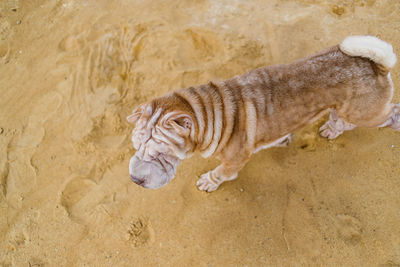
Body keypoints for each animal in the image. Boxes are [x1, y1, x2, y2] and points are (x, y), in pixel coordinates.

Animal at [126, 35, 398, 193]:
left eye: (162, 154)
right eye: (135, 146)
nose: (134, 180)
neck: (210, 112)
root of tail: (376, 65)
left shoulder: (234, 161)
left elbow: (221, 173)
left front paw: (209, 181)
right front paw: (282, 140)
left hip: (367, 113)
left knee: (391, 112)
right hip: (348, 107)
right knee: (342, 119)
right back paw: (334, 128)